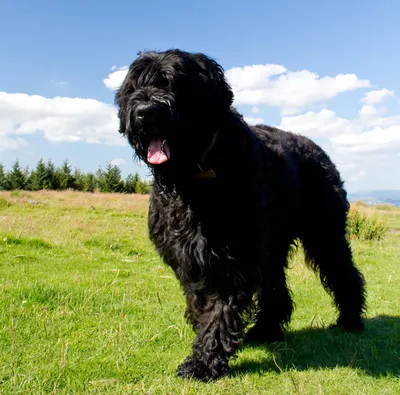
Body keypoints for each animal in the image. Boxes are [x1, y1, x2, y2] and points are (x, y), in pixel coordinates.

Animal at [115, 48, 366, 380]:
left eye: (175, 83)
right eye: (134, 86)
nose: (145, 111)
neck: (199, 176)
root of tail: (318, 149)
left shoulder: (234, 256)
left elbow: (220, 307)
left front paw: (203, 361)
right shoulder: (189, 255)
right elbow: (200, 301)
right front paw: (204, 336)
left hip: (323, 232)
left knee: (343, 271)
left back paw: (350, 319)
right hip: (273, 246)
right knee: (276, 289)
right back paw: (266, 329)